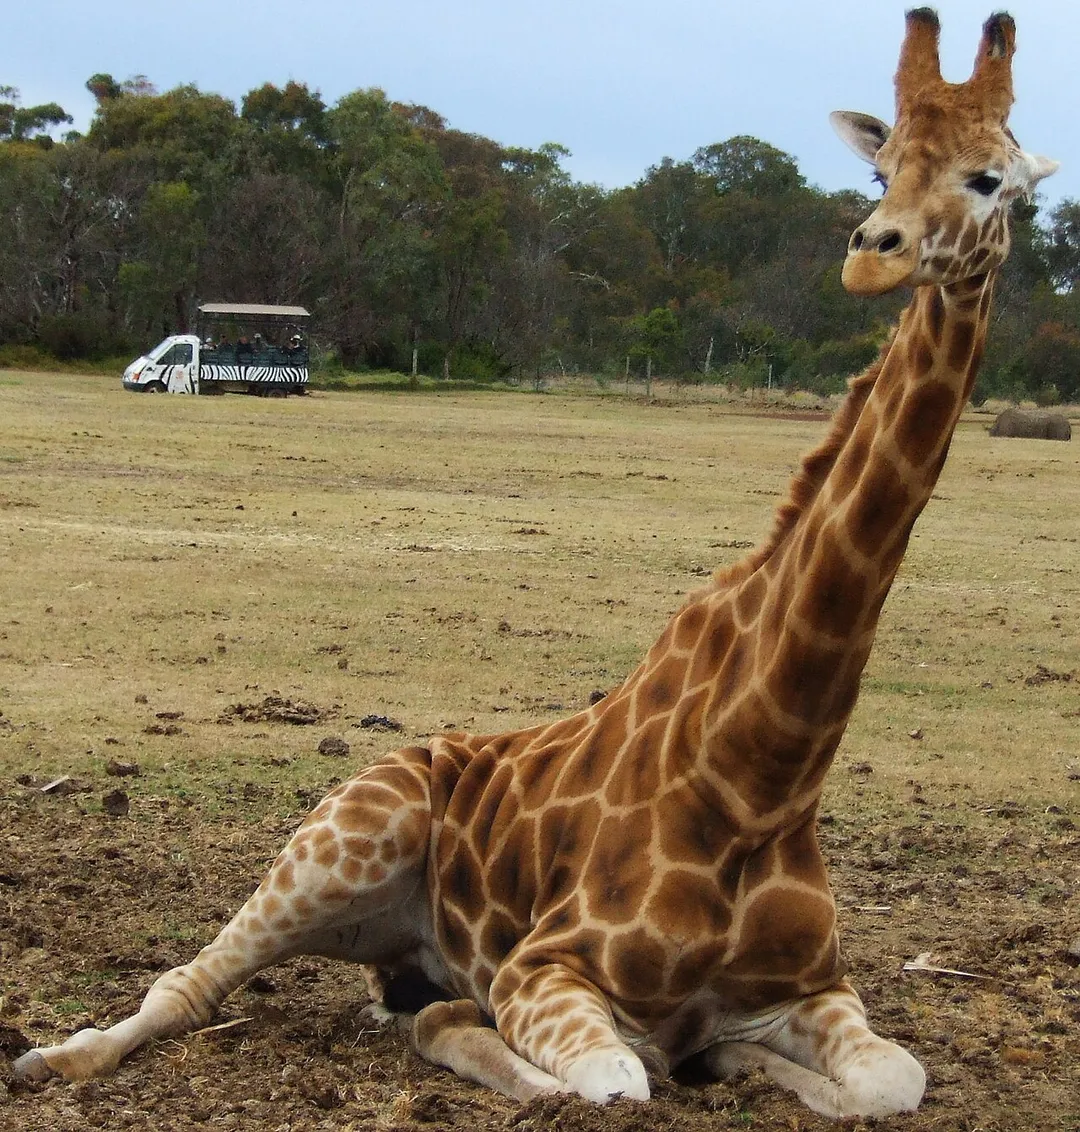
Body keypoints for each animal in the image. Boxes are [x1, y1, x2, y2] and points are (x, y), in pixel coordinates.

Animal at [14, 9, 1057, 1121]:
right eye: (881, 170)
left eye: (992, 180)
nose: (874, 253)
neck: (763, 775)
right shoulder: (541, 968)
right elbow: (616, 1079)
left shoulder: (813, 988)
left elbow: (892, 1078)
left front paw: (745, 1064)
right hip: (340, 842)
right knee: (191, 983)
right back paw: (51, 1059)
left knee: (388, 999)